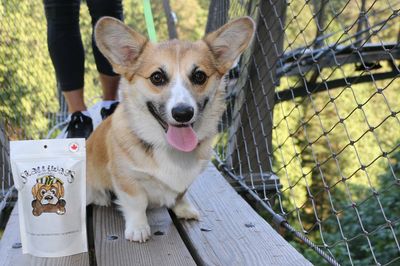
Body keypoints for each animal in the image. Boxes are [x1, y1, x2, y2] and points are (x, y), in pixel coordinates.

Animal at [86, 15, 255, 242]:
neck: (169, 148)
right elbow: (136, 203)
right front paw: (138, 228)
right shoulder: (126, 178)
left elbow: (180, 194)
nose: (183, 113)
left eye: (199, 76)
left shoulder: (187, 180)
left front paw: (183, 209)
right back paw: (101, 197)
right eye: (157, 77)